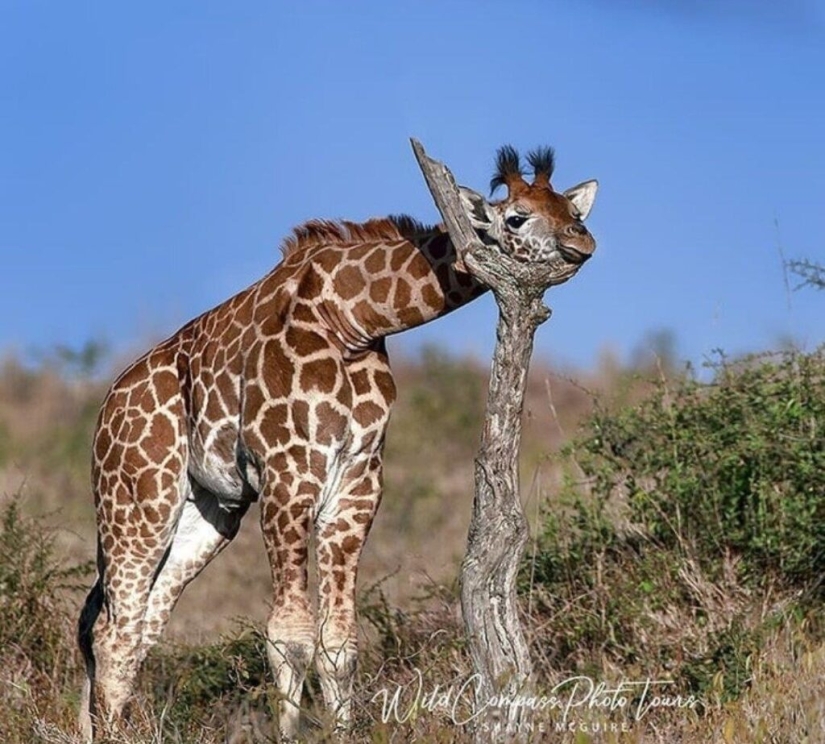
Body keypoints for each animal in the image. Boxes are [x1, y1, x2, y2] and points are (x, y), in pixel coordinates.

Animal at [77, 144, 598, 740]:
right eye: (516, 217)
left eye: (571, 210)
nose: (582, 243)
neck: (352, 319)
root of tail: (105, 411)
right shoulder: (288, 476)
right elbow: (289, 636)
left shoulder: (355, 485)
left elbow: (338, 643)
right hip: (139, 502)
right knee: (113, 629)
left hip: (207, 514)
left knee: (135, 624)